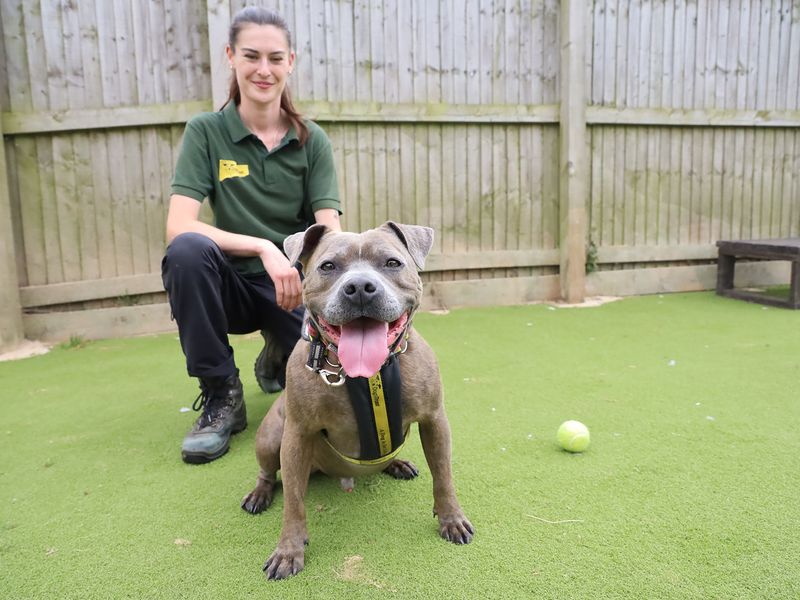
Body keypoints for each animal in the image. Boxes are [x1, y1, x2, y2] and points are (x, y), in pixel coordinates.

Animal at [241, 221, 472, 580]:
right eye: (328, 266)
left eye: (392, 263)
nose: (360, 287)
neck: (364, 375)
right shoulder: (296, 436)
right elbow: (293, 501)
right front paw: (288, 550)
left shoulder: (434, 420)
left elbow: (444, 476)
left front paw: (452, 518)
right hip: (270, 437)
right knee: (268, 472)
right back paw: (260, 494)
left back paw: (396, 463)